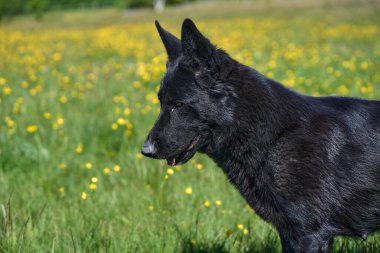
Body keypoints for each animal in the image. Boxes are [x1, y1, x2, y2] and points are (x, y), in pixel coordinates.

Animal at [140, 18, 380, 252]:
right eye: (161, 102)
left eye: (178, 104)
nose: (145, 150)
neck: (275, 137)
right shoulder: (290, 233)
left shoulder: (309, 234)